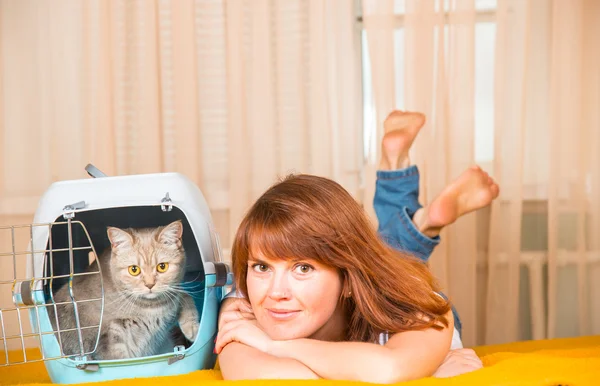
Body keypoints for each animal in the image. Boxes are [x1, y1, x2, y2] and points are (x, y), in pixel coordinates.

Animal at [49, 222, 199, 360]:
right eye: (134, 270)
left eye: (162, 267)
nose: (149, 284)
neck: (150, 308)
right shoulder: (109, 337)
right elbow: (120, 360)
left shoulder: (172, 297)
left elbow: (185, 296)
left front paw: (193, 328)